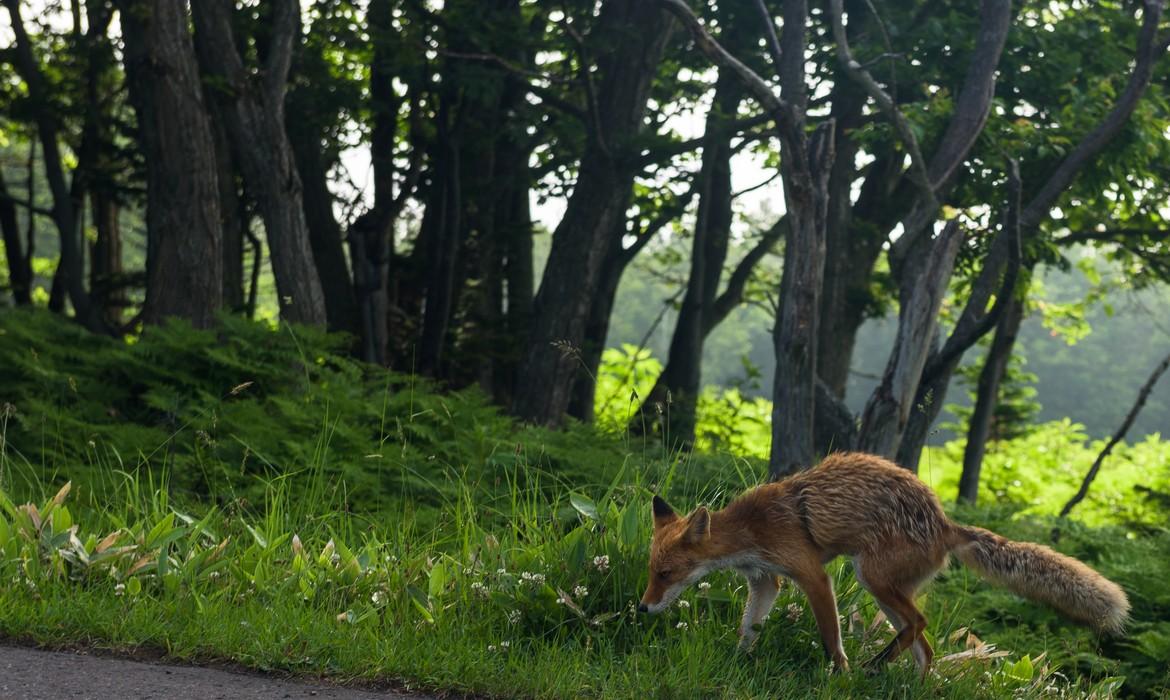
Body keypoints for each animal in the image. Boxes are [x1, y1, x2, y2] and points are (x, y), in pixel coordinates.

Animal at [638, 452, 1129, 673]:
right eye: (650, 572)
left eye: (666, 574)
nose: (642, 608)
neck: (752, 530)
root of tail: (946, 522)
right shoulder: (765, 582)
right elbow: (749, 630)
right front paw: (739, 661)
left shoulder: (813, 575)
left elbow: (830, 638)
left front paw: (839, 676)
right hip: (886, 594)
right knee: (926, 646)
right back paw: (912, 683)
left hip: (870, 577)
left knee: (922, 624)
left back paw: (878, 664)